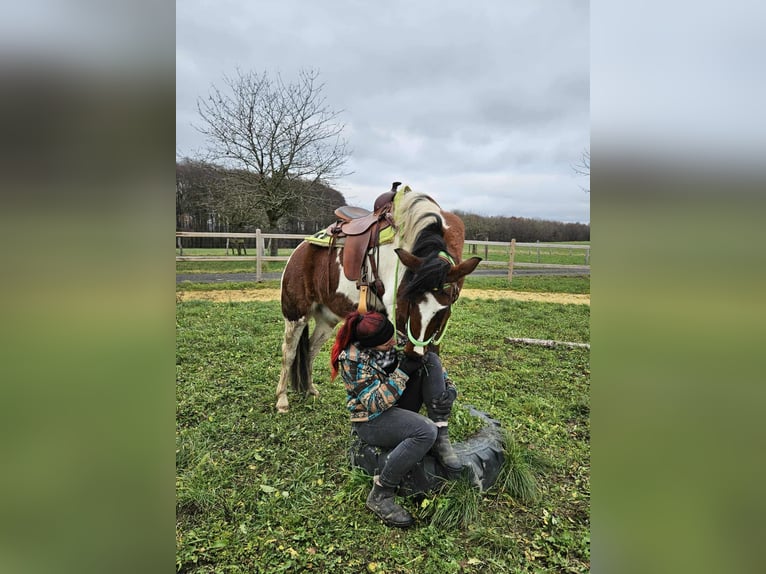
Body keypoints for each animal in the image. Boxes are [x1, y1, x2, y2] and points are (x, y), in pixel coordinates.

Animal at [276, 185, 481, 413]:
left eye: (443, 309)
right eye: (408, 301)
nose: (415, 354)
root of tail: (299, 250)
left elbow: (434, 353)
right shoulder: (397, 318)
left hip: (327, 317)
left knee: (311, 349)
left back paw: (311, 389)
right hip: (296, 316)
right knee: (289, 352)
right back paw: (282, 400)